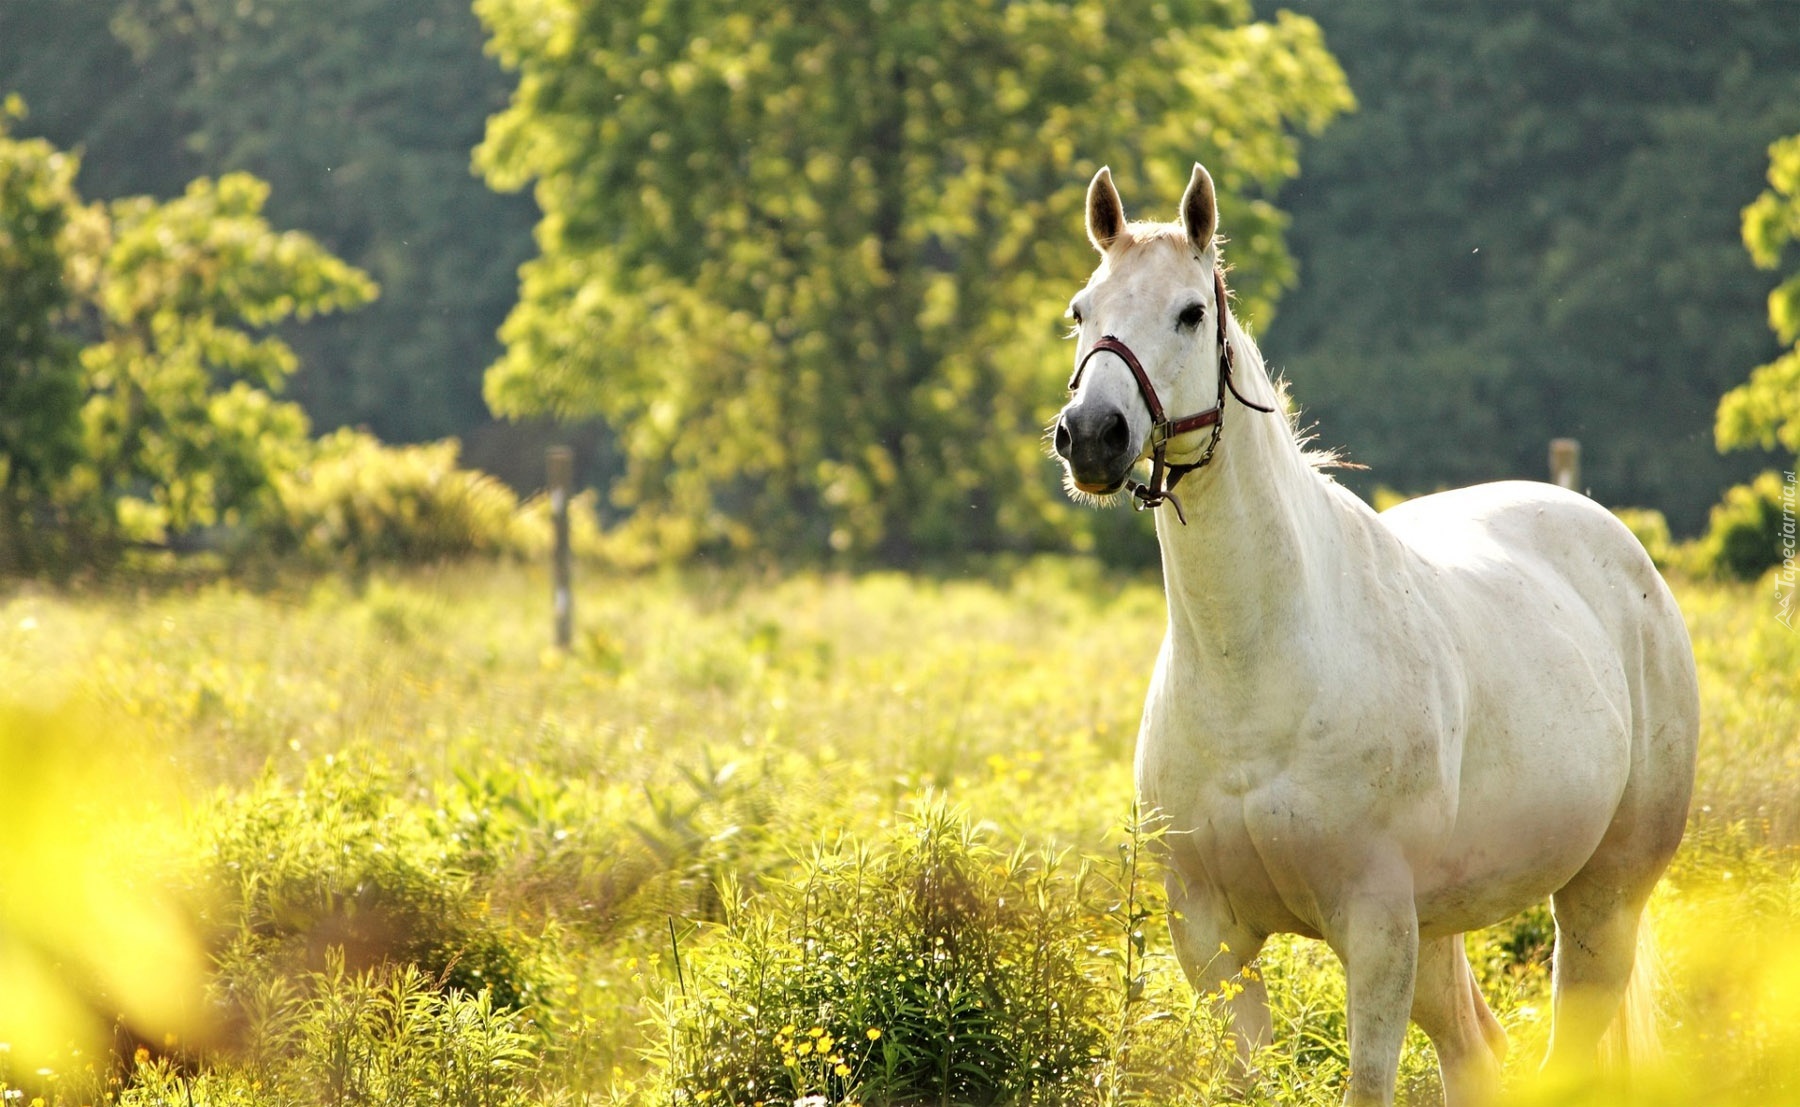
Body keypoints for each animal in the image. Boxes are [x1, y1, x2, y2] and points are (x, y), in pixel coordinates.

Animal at [1051, 164, 1692, 1107]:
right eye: (1081, 309)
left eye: (1190, 313)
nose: (1093, 436)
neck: (1258, 669)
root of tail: (1617, 546)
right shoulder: (1210, 938)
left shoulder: (1377, 926)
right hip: (1446, 927)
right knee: (1476, 1053)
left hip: (1599, 899)